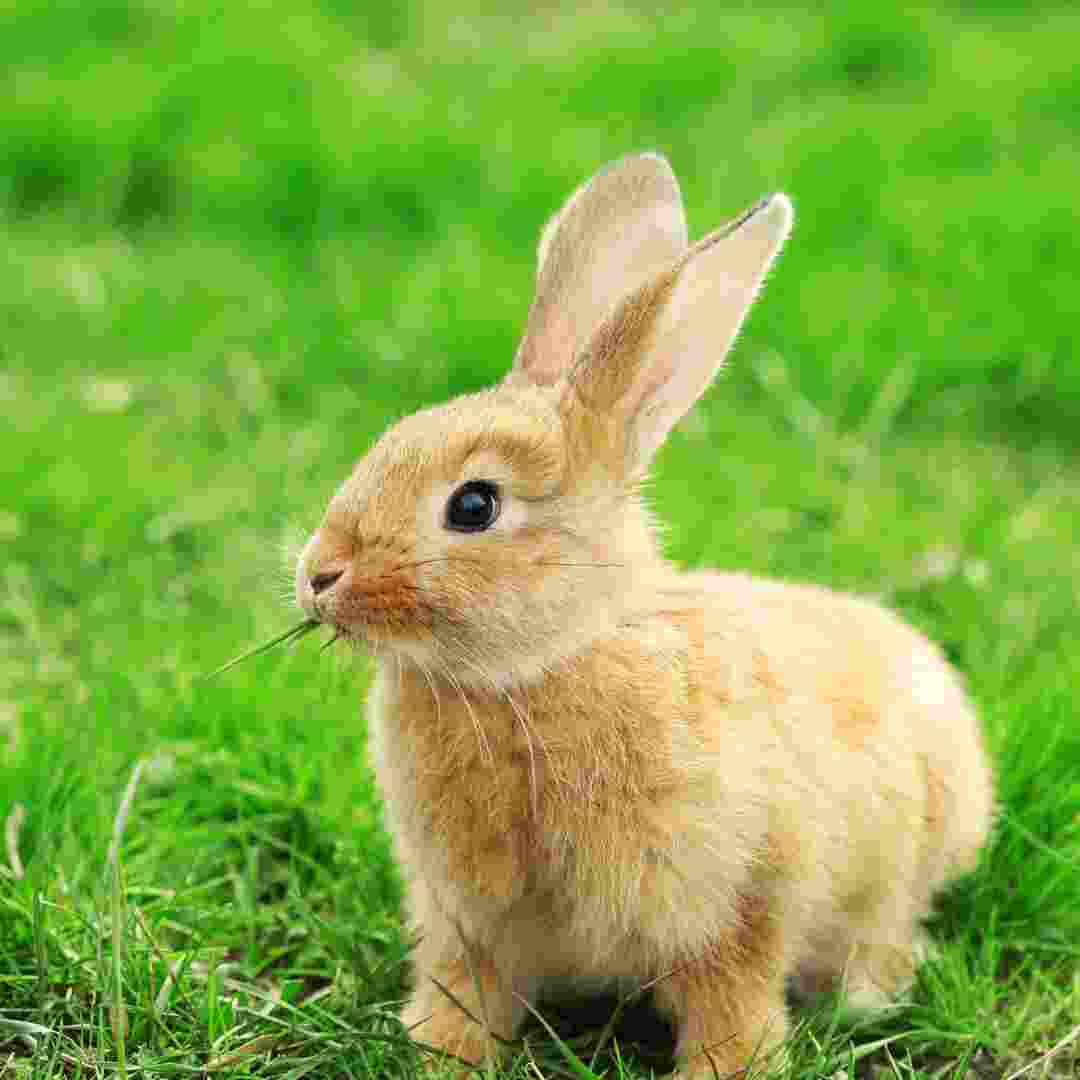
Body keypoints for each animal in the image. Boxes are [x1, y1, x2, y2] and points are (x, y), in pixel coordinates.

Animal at [294, 153, 993, 1077]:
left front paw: (728, 1069)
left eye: (474, 506)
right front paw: (440, 1051)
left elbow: (733, 998)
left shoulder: (739, 899)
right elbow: (463, 988)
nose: (317, 575)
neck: (540, 668)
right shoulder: (466, 920)